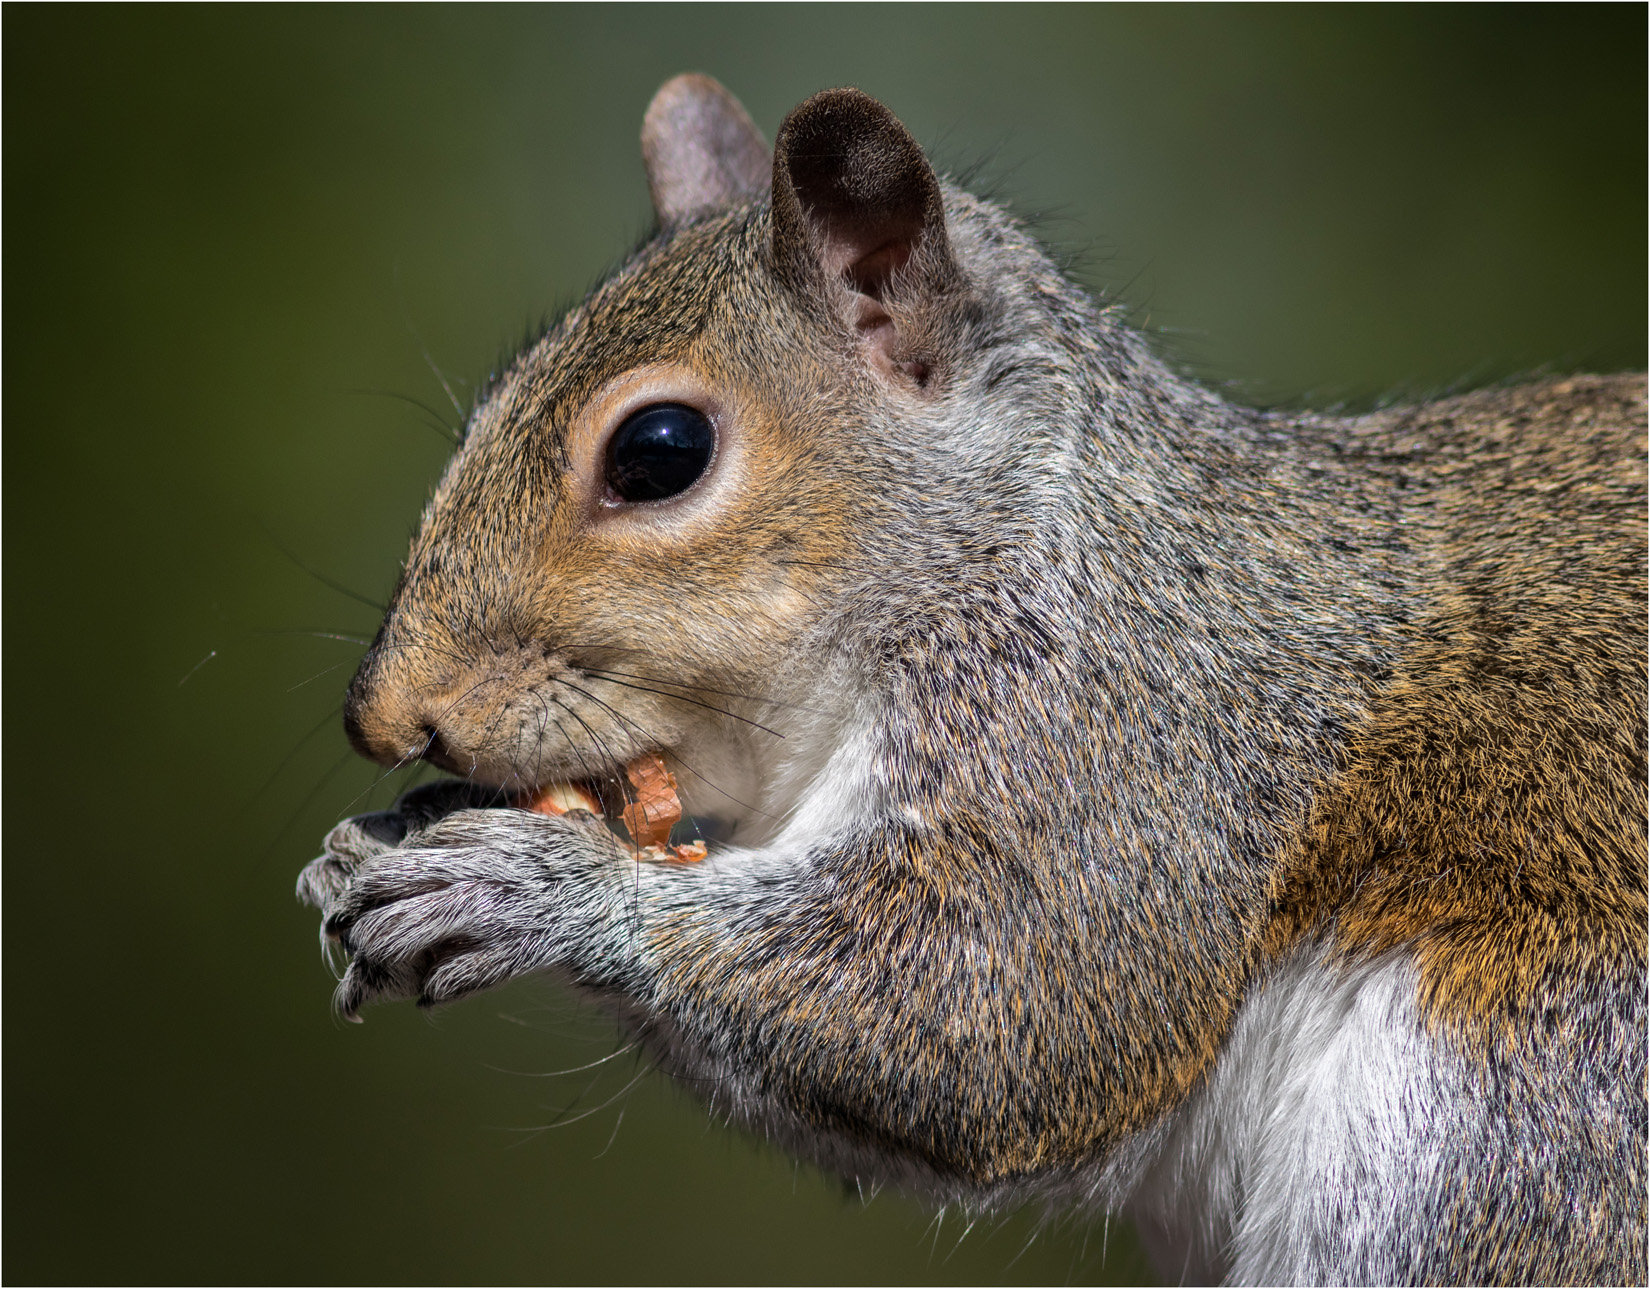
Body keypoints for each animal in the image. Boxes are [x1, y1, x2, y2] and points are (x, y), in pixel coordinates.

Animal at [297, 74, 1647, 1285]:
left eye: (659, 452)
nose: (386, 717)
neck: (1005, 539)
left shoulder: (1124, 728)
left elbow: (996, 1002)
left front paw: (528, 882)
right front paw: (400, 830)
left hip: (1501, 1124)